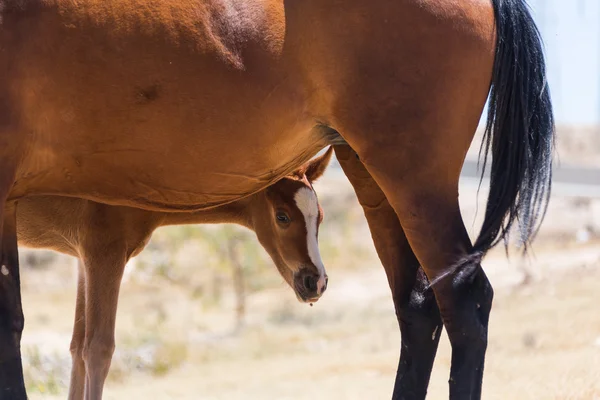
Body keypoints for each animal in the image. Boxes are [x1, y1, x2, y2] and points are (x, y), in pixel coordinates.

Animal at [16, 148, 332, 400]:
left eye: (320, 216)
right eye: (282, 216)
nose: (316, 282)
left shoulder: (83, 259)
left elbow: (76, 348)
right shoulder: (103, 253)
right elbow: (97, 350)